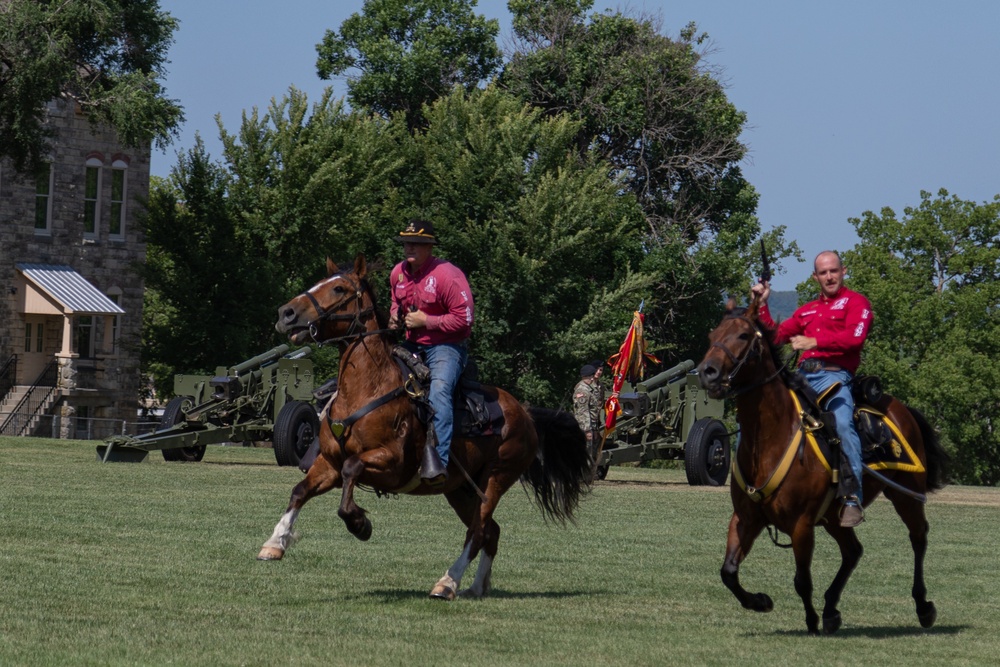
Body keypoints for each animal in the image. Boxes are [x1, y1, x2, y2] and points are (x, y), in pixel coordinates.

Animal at [256, 256, 592, 600]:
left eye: (339, 288)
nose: (286, 314)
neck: (366, 390)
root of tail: (524, 412)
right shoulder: (328, 464)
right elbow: (300, 490)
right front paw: (275, 543)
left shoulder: (391, 463)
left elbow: (352, 470)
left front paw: (360, 524)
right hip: (460, 489)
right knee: (491, 532)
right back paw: (476, 586)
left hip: (494, 481)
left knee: (478, 530)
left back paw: (448, 582)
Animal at [696, 300, 944, 636]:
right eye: (713, 335)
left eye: (744, 335)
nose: (707, 373)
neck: (770, 438)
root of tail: (900, 407)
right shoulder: (746, 518)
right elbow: (729, 572)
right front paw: (761, 601)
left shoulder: (801, 524)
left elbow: (802, 580)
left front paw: (811, 621)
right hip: (835, 517)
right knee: (853, 551)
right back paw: (831, 609)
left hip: (906, 495)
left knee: (918, 537)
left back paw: (923, 607)